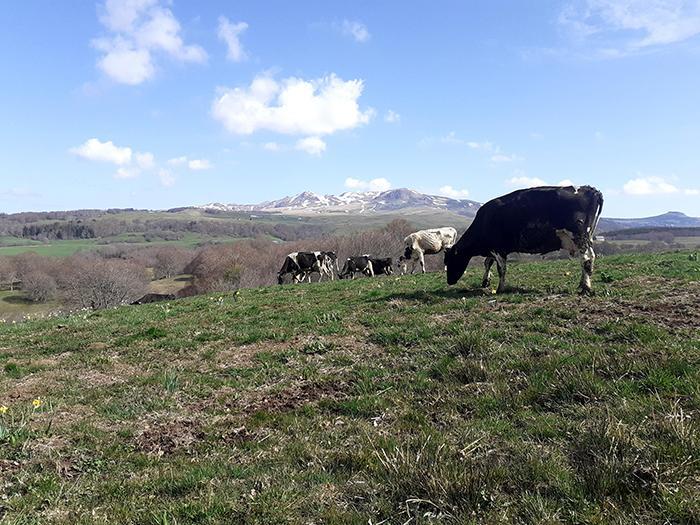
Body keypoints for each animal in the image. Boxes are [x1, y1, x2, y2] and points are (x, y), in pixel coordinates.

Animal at [444, 185, 604, 294]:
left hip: (579, 237)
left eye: (450, 261)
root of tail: (592, 190)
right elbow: (487, 263)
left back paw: (586, 287)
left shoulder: (498, 249)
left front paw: (500, 288)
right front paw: (485, 281)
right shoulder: (492, 249)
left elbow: (501, 268)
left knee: (587, 259)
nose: (449, 281)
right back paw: (583, 284)